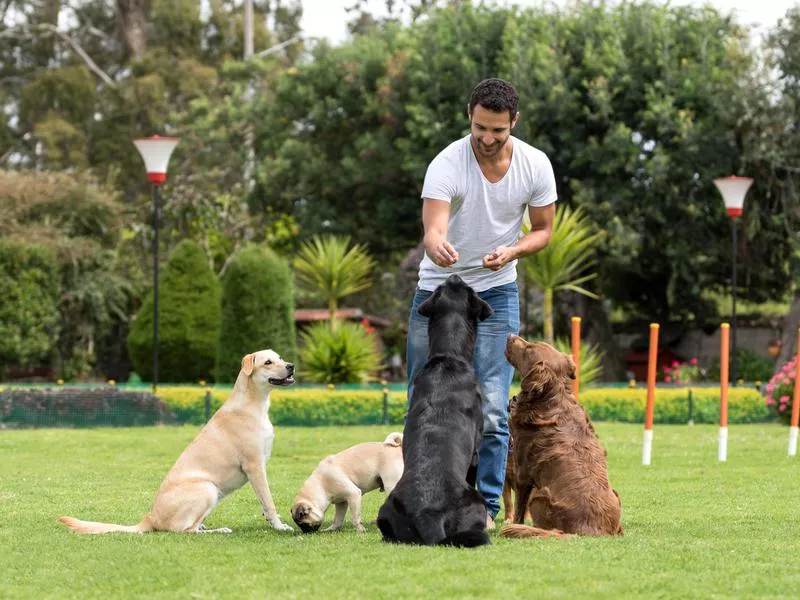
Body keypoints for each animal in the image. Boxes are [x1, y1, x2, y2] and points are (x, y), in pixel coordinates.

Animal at [58, 350, 296, 536]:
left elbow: (264, 503)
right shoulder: (255, 466)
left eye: (280, 357)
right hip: (207, 488)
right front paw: (279, 526)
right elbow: (269, 501)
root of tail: (150, 518)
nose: (291, 366)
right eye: (268, 362)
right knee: (186, 530)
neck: (252, 404)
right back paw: (218, 531)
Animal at [500, 338, 624, 540]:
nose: (510, 336)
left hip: (539, 495)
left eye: (528, 348)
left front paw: (515, 524)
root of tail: (585, 531)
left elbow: (519, 508)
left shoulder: (522, 472)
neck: (550, 400)